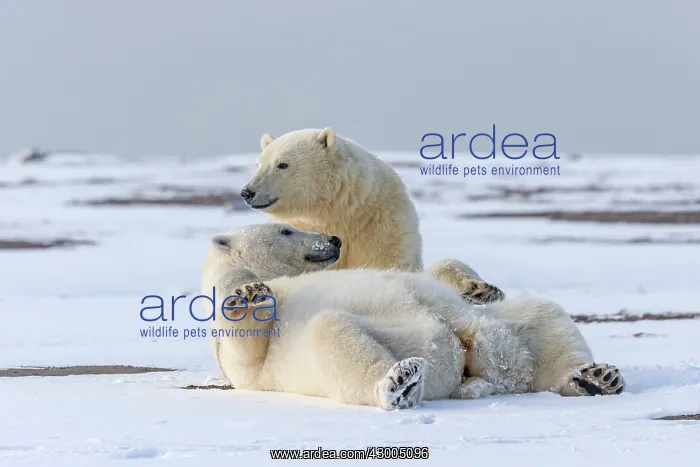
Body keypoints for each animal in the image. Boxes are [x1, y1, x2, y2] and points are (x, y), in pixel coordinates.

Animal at [202, 223, 625, 410]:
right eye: (286, 230)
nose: (334, 239)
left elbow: (433, 271)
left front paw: (479, 286)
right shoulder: (250, 358)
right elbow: (248, 345)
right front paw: (249, 292)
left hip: (499, 326)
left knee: (543, 313)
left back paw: (595, 377)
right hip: (408, 341)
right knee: (332, 332)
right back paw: (399, 382)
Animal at [239, 127, 504, 305]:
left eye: (282, 164)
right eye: (258, 164)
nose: (247, 192)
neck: (335, 210)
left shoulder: (382, 226)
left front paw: (478, 289)